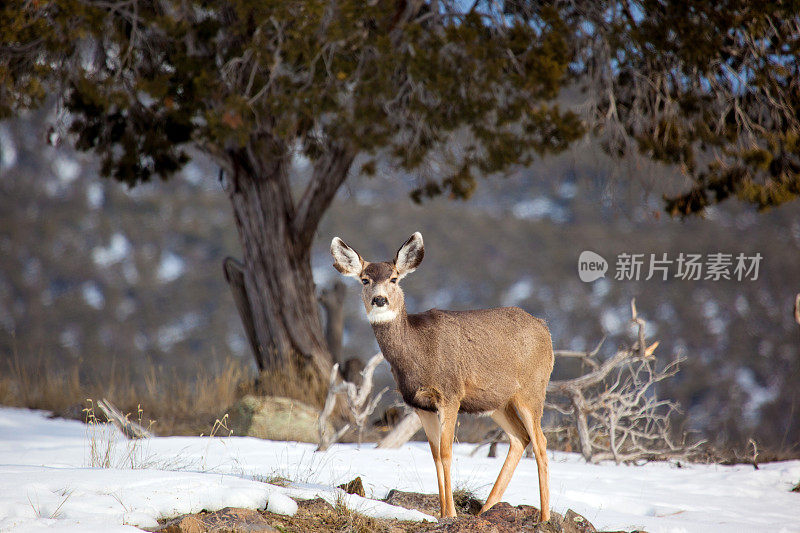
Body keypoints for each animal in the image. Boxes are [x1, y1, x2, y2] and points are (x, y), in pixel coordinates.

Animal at [332, 231, 556, 516]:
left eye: (394, 278)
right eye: (365, 279)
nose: (379, 299)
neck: (418, 352)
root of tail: (544, 328)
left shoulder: (450, 394)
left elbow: (448, 452)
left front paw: (451, 513)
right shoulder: (420, 405)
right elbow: (436, 454)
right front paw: (441, 513)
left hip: (532, 390)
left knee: (540, 443)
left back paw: (544, 517)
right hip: (497, 402)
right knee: (520, 438)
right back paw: (485, 510)